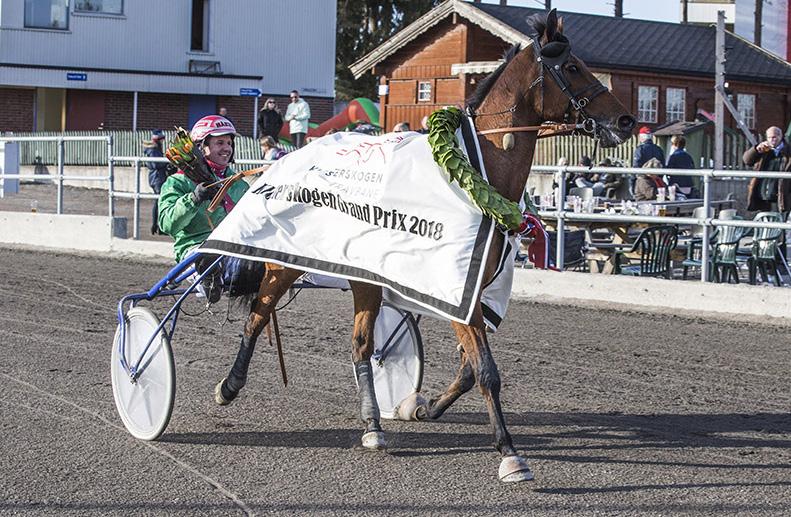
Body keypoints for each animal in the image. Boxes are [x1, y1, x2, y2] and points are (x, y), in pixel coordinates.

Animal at [213, 10, 636, 482]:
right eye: (573, 67)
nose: (625, 121)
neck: (477, 169)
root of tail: (285, 158)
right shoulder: (456, 286)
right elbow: (486, 371)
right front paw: (509, 453)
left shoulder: (473, 291)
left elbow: (469, 370)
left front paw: (422, 406)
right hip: (284, 263)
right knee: (257, 315)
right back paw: (229, 386)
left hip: (366, 276)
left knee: (361, 345)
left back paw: (373, 425)